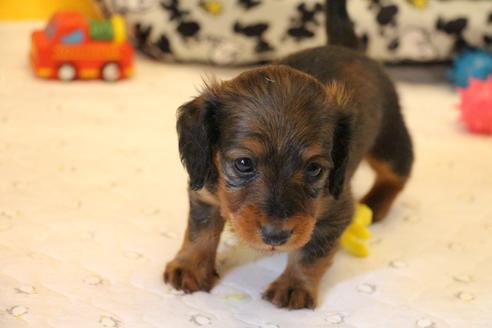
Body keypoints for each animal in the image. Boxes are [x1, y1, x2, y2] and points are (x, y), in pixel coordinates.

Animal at [163, 44, 414, 308]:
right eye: (243, 163)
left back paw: (376, 202)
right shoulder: (204, 192)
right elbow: (199, 232)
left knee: (397, 175)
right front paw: (189, 267)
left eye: (314, 168)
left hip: (390, 142)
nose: (276, 236)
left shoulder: (336, 210)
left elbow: (311, 252)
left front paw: (294, 285)